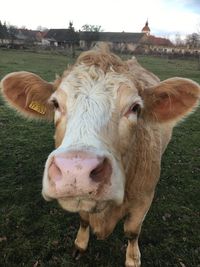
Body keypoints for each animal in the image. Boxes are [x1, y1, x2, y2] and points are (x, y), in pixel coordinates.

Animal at [0, 46, 199, 267]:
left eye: (135, 107)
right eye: (55, 104)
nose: (75, 170)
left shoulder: (144, 199)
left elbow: (132, 232)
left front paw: (133, 258)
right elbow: (84, 220)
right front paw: (80, 244)